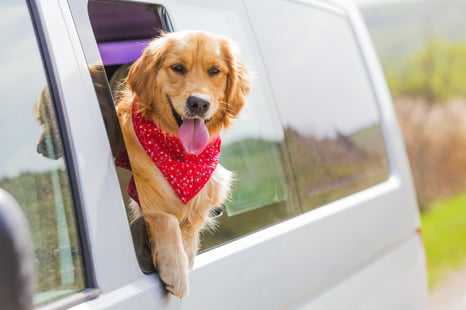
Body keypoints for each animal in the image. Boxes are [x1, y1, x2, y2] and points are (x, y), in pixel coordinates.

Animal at [115, 29, 249, 298]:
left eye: (214, 70)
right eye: (177, 68)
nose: (198, 103)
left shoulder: (203, 196)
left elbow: (188, 229)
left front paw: (184, 259)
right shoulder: (145, 191)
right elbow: (164, 217)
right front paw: (176, 271)